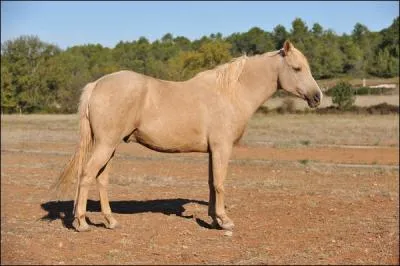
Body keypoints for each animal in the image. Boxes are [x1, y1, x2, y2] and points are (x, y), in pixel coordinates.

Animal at [53, 40, 322, 232]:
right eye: (297, 68)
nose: (317, 97)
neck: (230, 93)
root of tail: (96, 85)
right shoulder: (222, 147)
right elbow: (220, 183)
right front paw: (224, 220)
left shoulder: (213, 151)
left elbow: (212, 184)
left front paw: (214, 219)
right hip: (106, 145)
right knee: (87, 175)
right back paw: (81, 223)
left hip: (109, 146)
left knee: (101, 179)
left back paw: (110, 221)